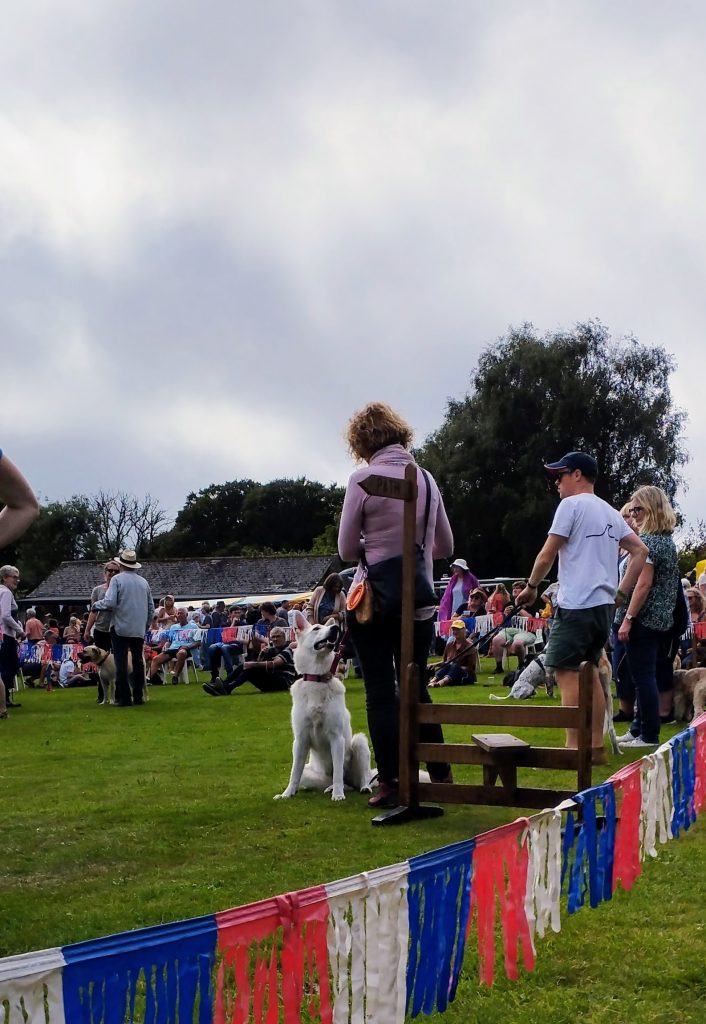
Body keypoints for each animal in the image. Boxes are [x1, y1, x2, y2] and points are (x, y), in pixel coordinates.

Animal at [274, 610, 375, 802]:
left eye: (329, 627)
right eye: (316, 628)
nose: (335, 628)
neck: (317, 679)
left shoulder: (336, 738)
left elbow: (338, 773)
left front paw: (338, 795)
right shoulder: (300, 740)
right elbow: (294, 772)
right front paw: (287, 793)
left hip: (359, 742)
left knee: (361, 778)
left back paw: (361, 787)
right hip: (309, 771)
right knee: (337, 782)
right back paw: (328, 788)